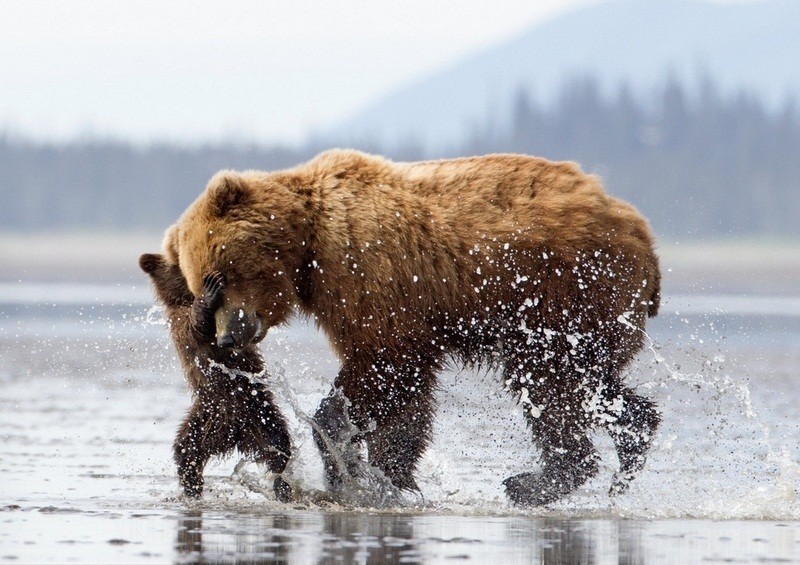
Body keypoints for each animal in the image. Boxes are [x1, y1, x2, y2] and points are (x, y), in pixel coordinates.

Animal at [141, 253, 294, 500]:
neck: (181, 298)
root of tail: (233, 436)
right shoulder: (182, 324)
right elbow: (197, 325)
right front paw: (210, 291)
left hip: (260, 412)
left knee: (278, 444)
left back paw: (282, 484)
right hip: (208, 415)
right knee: (186, 450)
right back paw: (192, 487)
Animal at [166, 150, 660, 506]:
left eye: (217, 278)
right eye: (198, 283)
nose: (227, 336)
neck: (306, 253)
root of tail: (642, 233)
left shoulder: (370, 275)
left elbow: (382, 368)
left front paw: (348, 466)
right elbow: (407, 403)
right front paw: (389, 474)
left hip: (563, 294)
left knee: (547, 384)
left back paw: (532, 482)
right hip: (587, 317)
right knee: (590, 385)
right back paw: (629, 447)